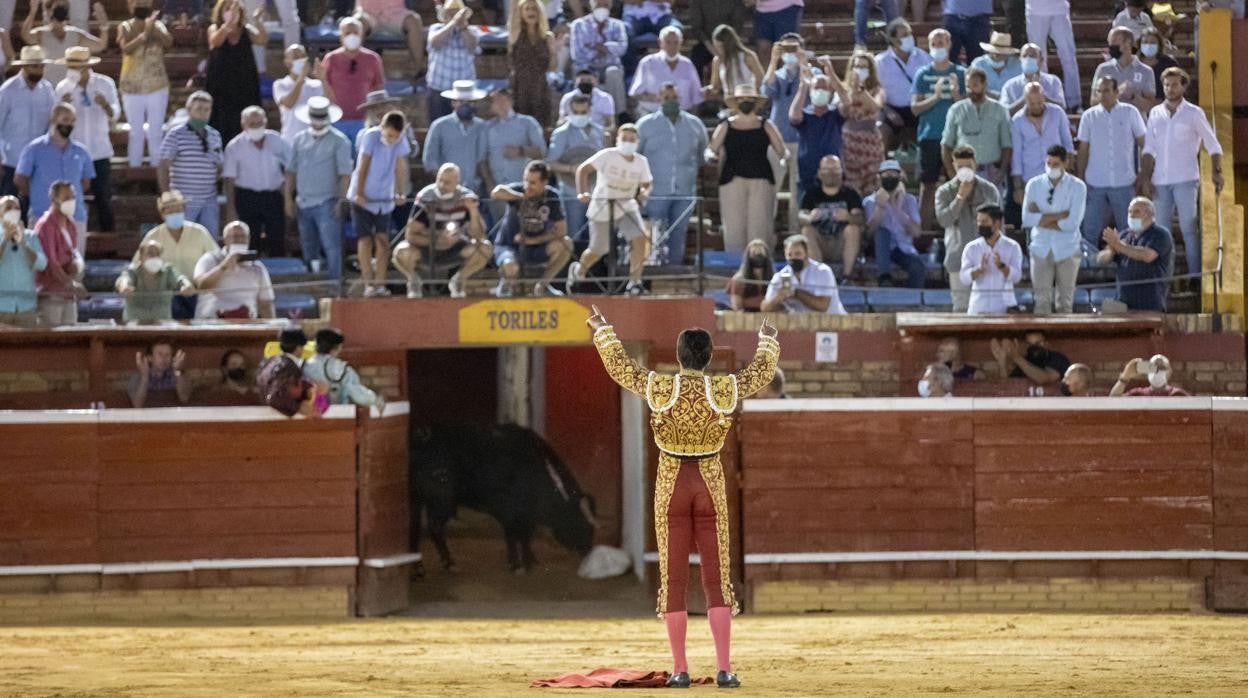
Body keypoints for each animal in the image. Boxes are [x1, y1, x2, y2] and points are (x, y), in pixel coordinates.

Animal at [409, 427, 599, 574]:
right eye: (584, 525)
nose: (588, 552)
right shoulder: (511, 512)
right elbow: (515, 535)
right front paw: (518, 565)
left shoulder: (523, 515)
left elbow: (523, 536)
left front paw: (528, 559)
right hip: (442, 502)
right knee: (435, 528)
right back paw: (449, 564)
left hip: (417, 501)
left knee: (413, 530)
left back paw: (418, 568)